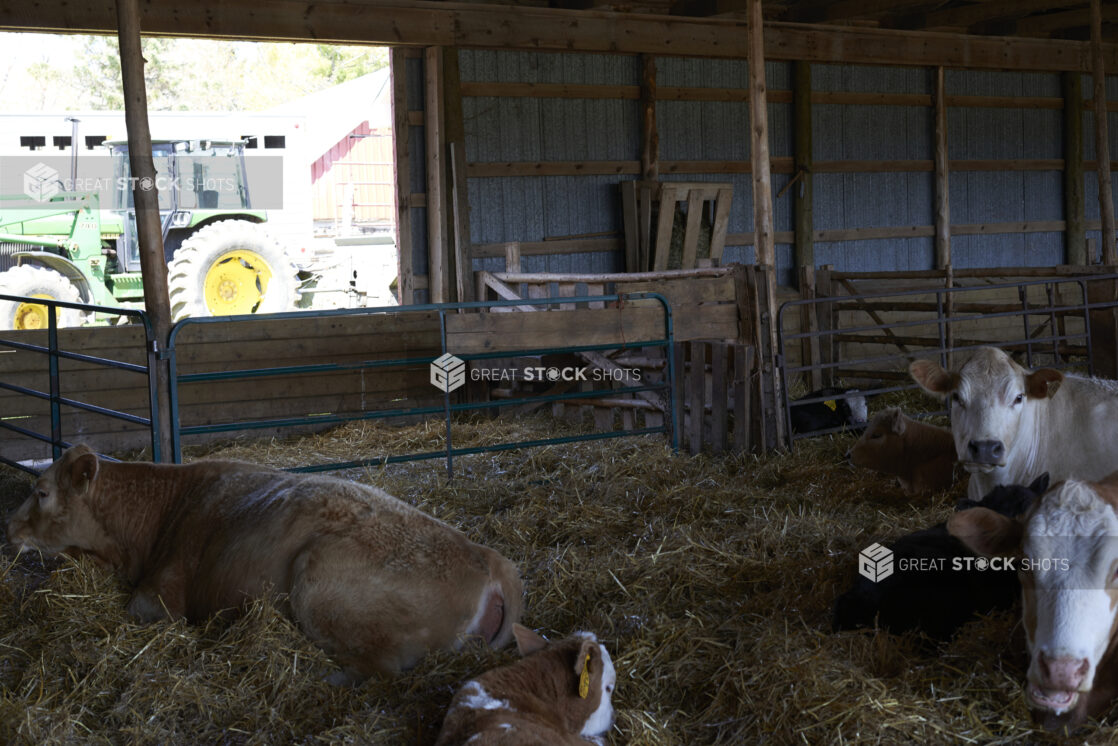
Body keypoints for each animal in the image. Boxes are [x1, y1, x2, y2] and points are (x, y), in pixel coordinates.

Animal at [5, 447, 523, 680]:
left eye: (42, 492)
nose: (8, 529)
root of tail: (488, 556)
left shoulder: (161, 596)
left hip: (318, 581)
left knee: (381, 666)